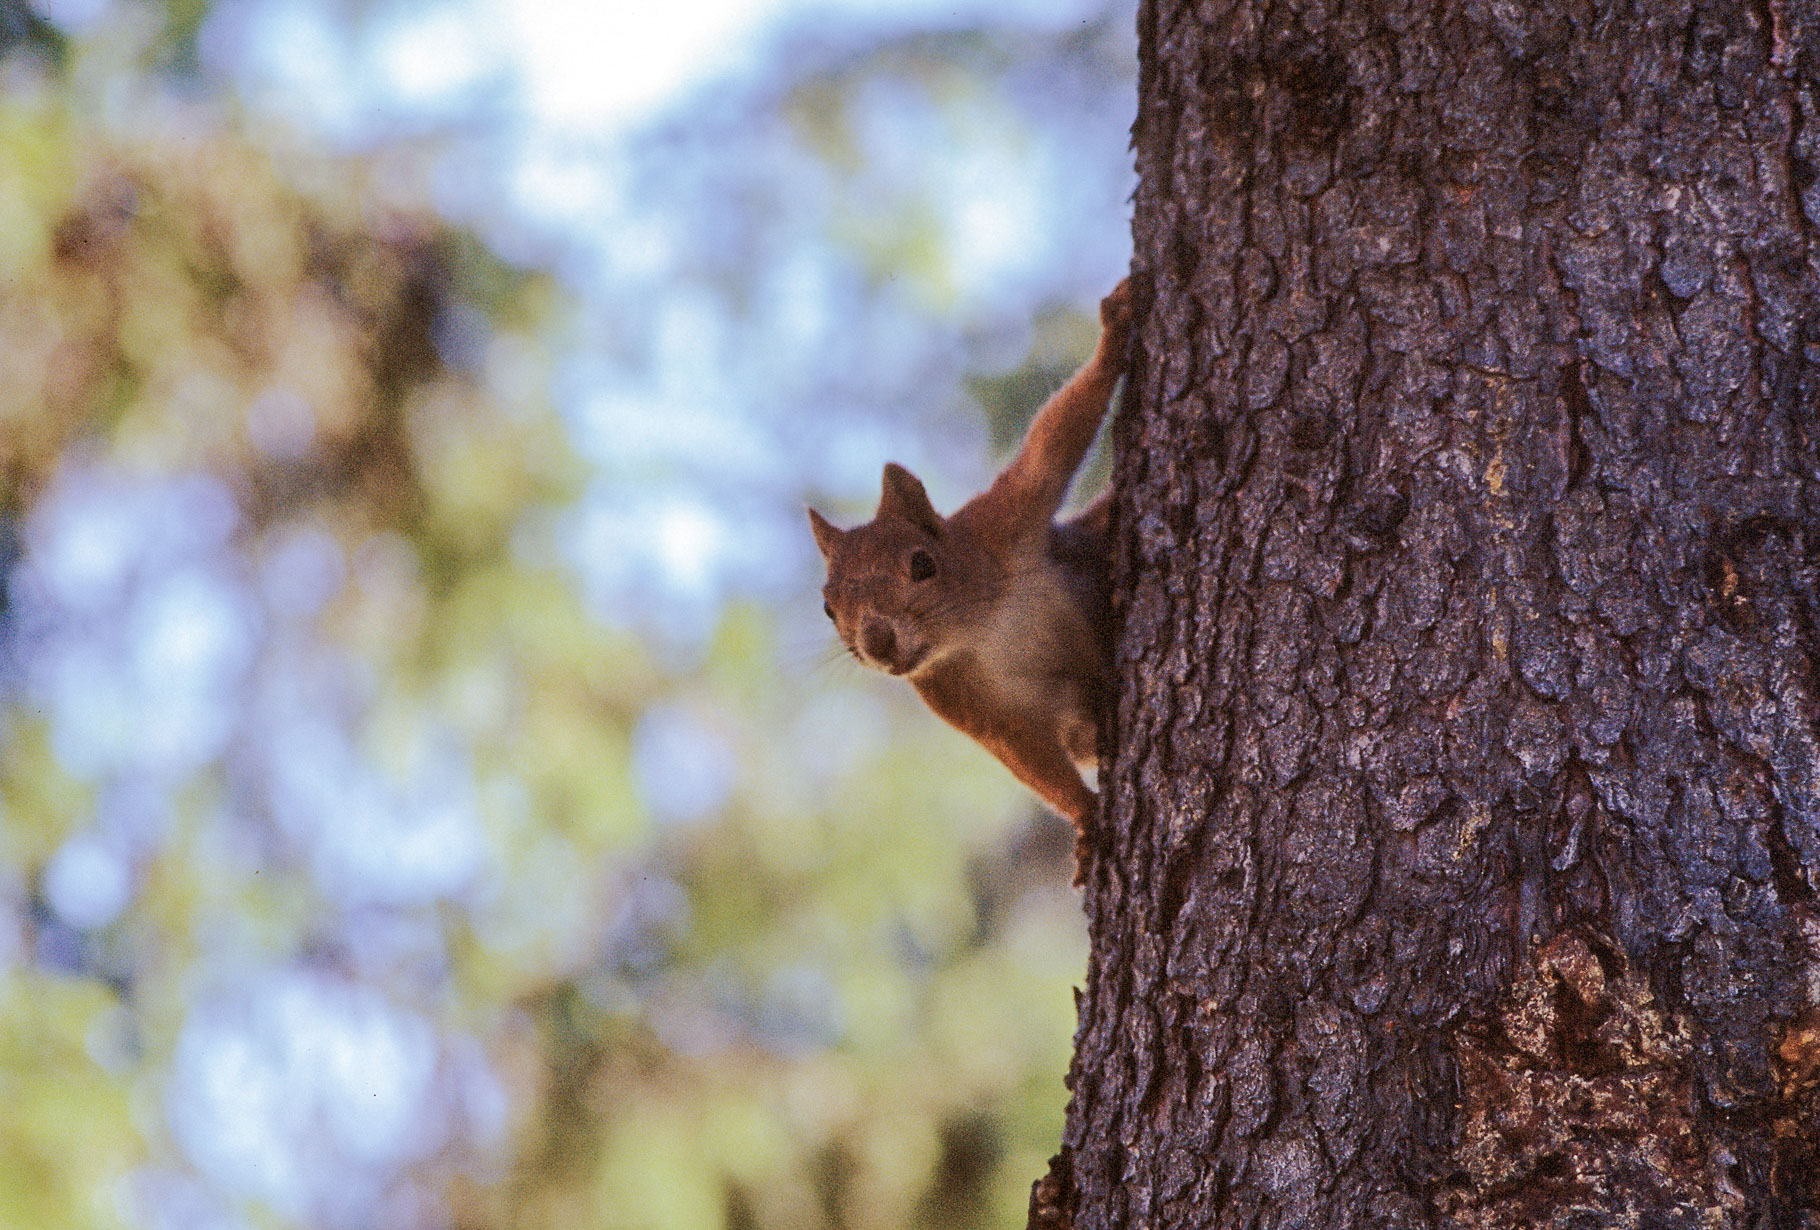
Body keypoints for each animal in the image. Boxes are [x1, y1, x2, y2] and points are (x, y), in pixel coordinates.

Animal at [808, 280, 1128, 873]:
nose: (877, 643)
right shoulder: (957, 699)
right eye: (827, 607)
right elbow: (1028, 758)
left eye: (922, 564)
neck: (977, 627)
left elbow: (1052, 445)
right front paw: (1085, 816)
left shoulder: (1002, 522)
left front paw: (1115, 332)